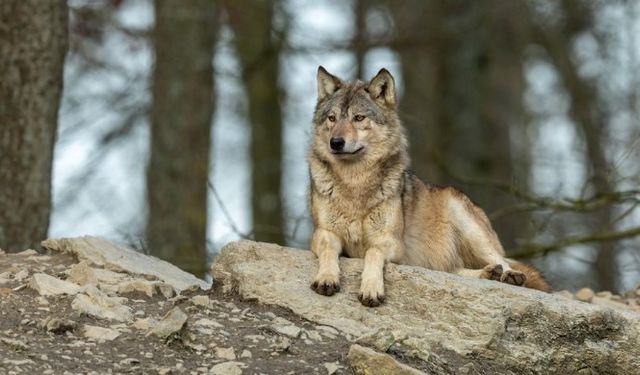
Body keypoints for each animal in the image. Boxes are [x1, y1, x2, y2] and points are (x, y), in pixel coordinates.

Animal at [308, 67, 548, 308]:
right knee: (454, 271)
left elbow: (373, 253)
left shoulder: (391, 242)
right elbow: (328, 250)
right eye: (332, 118)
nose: (335, 142)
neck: (354, 183)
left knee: (502, 261)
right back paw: (490, 274)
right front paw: (326, 278)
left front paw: (371, 289)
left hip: (467, 224)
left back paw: (509, 275)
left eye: (359, 118)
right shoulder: (324, 233)